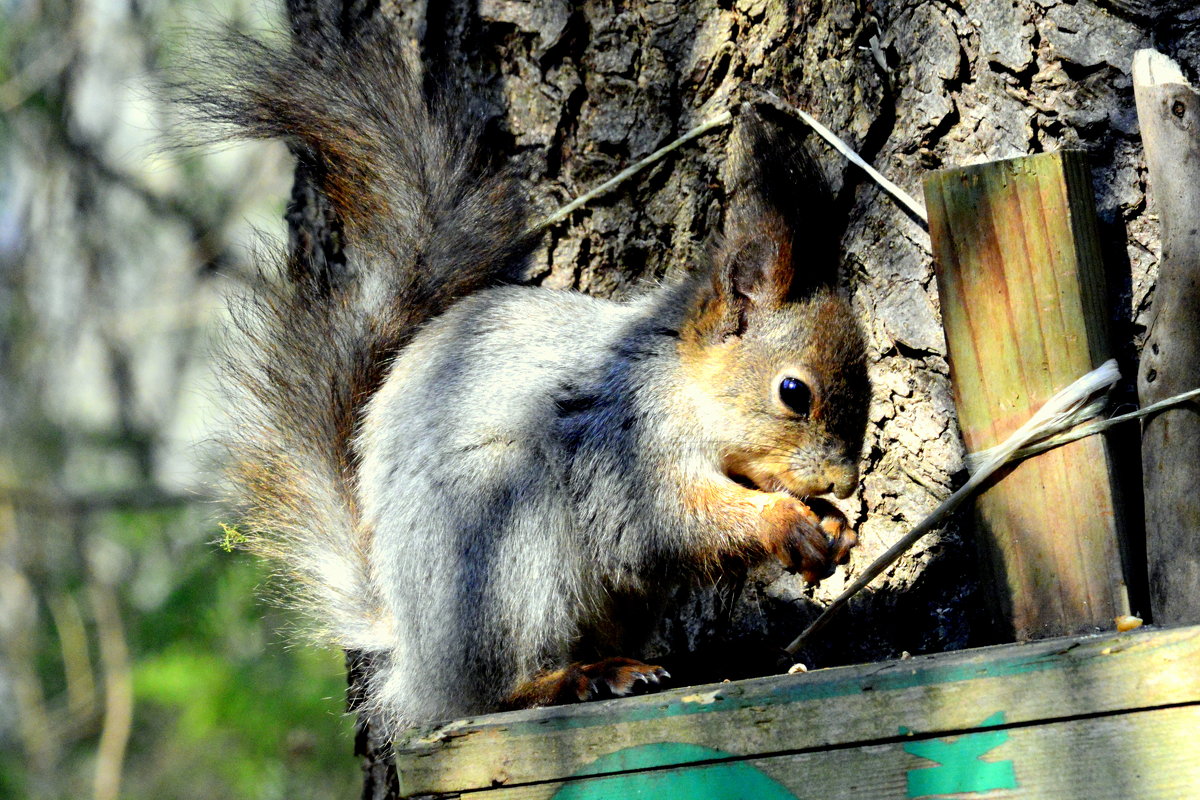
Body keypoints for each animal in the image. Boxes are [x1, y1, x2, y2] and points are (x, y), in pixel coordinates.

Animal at [192, 15, 868, 734]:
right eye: (794, 392)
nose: (844, 482)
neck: (673, 385)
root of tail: (417, 660)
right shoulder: (619, 451)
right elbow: (669, 522)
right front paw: (786, 522)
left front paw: (831, 523)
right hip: (509, 545)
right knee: (499, 691)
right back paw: (579, 677)